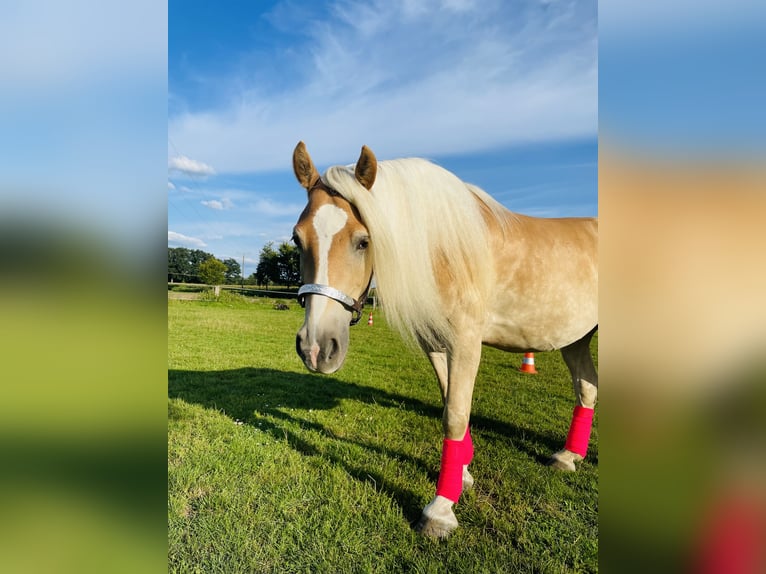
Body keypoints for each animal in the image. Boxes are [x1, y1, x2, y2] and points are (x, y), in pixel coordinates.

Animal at [292, 143, 596, 540]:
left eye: (363, 241)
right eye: (297, 239)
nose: (316, 348)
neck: (445, 252)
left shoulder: (466, 343)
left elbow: (455, 416)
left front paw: (440, 510)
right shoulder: (437, 346)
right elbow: (452, 407)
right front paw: (463, 476)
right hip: (577, 339)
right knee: (587, 389)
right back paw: (567, 457)